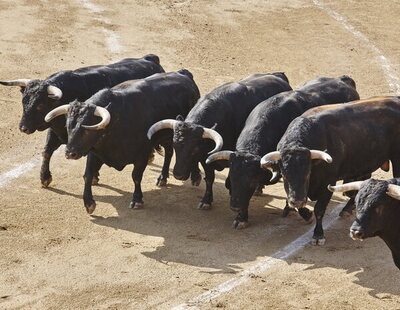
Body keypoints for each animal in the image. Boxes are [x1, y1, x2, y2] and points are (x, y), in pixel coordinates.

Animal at [0, 54, 164, 186]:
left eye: (40, 105)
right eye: (23, 101)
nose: (23, 128)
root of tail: (150, 59)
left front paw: (94, 177)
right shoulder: (55, 131)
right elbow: (47, 151)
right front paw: (45, 177)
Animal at [44, 70, 200, 214]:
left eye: (87, 130)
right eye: (68, 127)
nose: (70, 153)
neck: (116, 122)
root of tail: (184, 74)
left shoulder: (142, 155)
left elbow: (136, 176)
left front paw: (137, 200)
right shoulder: (95, 152)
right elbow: (87, 175)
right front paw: (89, 203)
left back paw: (194, 176)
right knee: (169, 151)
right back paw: (163, 177)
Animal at [147, 72, 290, 211]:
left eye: (195, 149)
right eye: (176, 145)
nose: (178, 175)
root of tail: (279, 76)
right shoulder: (206, 158)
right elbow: (209, 178)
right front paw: (206, 200)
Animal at [206, 75, 360, 230]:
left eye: (252, 181)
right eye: (232, 177)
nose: (235, 206)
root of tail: (343, 80)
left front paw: (305, 214)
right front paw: (241, 218)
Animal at [260, 95, 400, 246]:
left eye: (307, 173)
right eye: (284, 175)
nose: (297, 201)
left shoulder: (327, 183)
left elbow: (319, 209)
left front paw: (318, 235)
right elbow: (294, 202)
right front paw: (306, 214)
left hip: (396, 158)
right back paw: (347, 209)